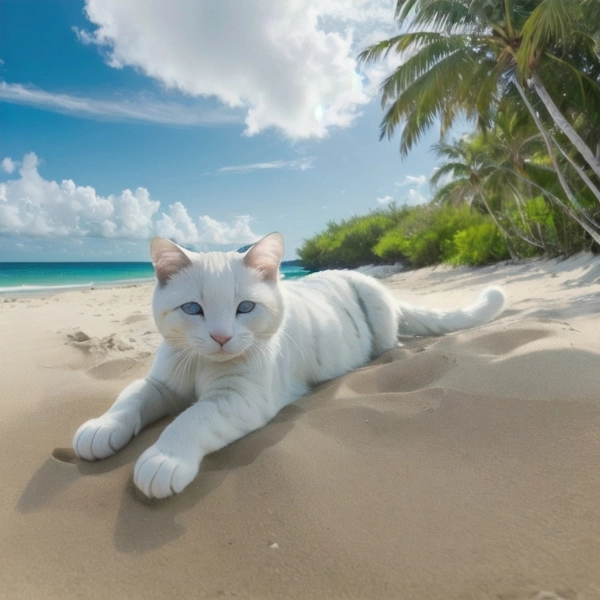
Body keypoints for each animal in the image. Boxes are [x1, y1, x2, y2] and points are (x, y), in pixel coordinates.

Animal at [75, 232, 506, 500]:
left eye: (245, 307)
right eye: (193, 309)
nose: (221, 337)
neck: (200, 367)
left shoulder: (240, 398)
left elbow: (192, 418)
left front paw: (165, 459)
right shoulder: (161, 384)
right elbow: (130, 399)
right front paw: (101, 428)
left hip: (378, 311)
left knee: (392, 343)